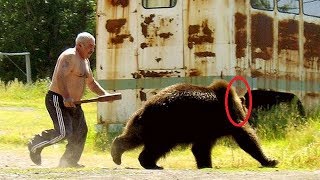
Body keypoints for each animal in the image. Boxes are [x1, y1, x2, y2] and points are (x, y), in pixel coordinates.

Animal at [111, 79, 278, 169]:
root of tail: (145, 107)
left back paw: (119, 154)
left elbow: (200, 148)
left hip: (146, 123)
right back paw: (150, 163)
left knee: (134, 137)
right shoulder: (223, 117)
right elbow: (245, 136)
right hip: (166, 124)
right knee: (158, 146)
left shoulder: (206, 129)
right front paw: (270, 160)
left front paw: (205, 164)